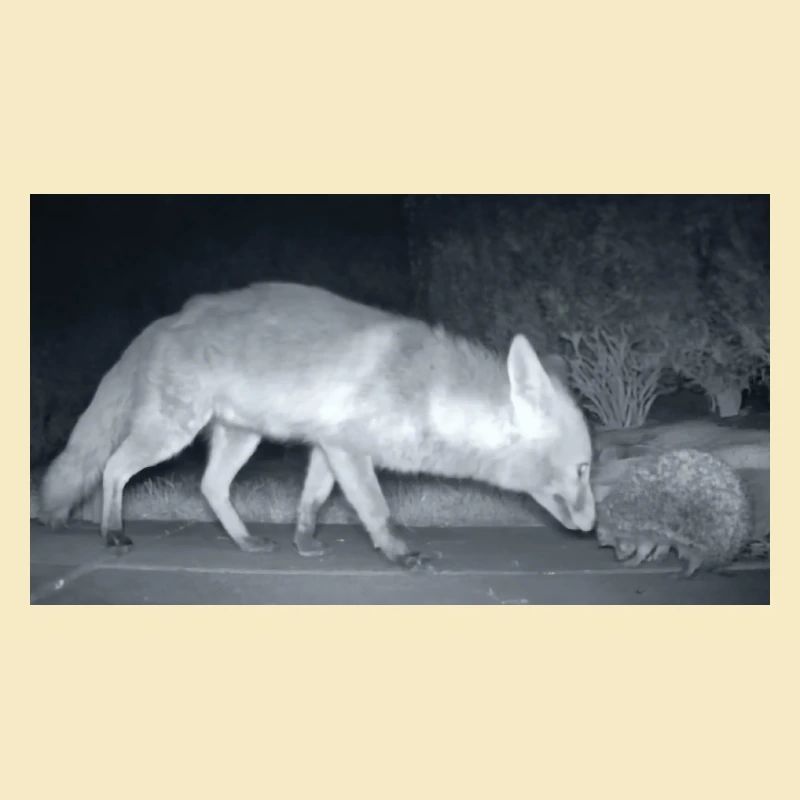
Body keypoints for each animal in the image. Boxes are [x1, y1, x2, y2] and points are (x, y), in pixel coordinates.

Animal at [39, 282, 596, 566]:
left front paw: (303, 544)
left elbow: (311, 502)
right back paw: (111, 532)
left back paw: (245, 542)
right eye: (583, 470)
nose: (593, 528)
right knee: (112, 469)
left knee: (210, 487)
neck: (426, 392)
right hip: (169, 433)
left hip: (241, 438)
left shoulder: (331, 446)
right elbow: (376, 511)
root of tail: (162, 322)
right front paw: (400, 554)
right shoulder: (350, 450)